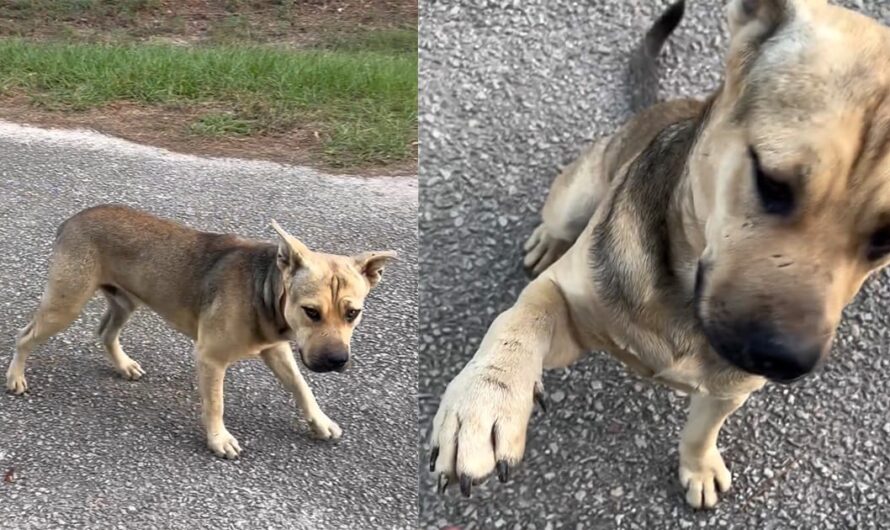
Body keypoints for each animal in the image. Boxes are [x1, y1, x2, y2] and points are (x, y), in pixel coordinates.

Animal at [6, 204, 396, 456]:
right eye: (311, 312)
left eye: (353, 313)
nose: (336, 361)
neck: (265, 288)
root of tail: (72, 219)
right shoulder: (211, 359)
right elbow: (216, 403)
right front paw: (218, 439)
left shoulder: (278, 349)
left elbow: (302, 388)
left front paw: (319, 421)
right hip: (65, 304)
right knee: (24, 335)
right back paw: (16, 376)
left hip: (124, 301)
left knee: (105, 332)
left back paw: (123, 364)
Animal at [426, 0, 888, 508]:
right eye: (770, 181)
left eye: (886, 237)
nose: (784, 360)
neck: (683, 296)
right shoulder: (566, 309)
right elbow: (524, 316)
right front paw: (486, 398)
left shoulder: (728, 389)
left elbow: (701, 432)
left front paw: (698, 467)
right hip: (574, 196)